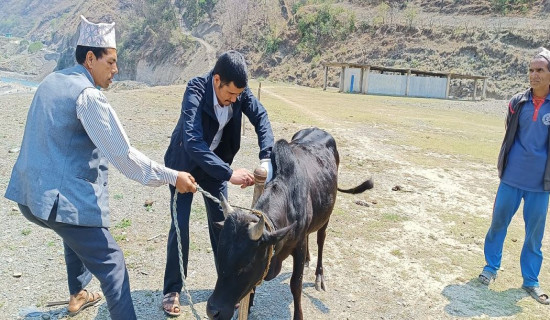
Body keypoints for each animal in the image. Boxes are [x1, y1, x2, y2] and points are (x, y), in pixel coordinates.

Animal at [207, 127, 376, 320]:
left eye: (246, 264)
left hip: (326, 216)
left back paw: (319, 275)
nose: (212, 311)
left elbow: (296, 284)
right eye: (219, 256)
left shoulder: (299, 246)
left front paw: (298, 315)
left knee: (321, 240)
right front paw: (247, 307)